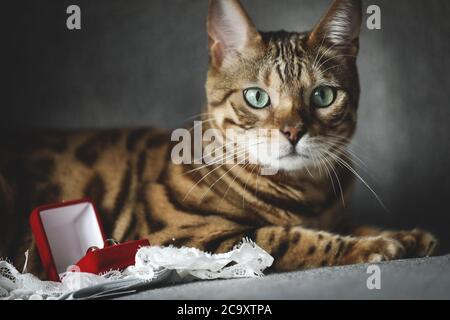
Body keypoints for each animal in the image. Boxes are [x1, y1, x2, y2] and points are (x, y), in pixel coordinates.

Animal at [0, 0, 436, 278]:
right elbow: (290, 238)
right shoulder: (183, 239)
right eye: (257, 97)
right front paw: (375, 246)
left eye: (323, 96)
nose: (294, 131)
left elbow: (355, 224)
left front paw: (403, 235)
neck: (304, 194)